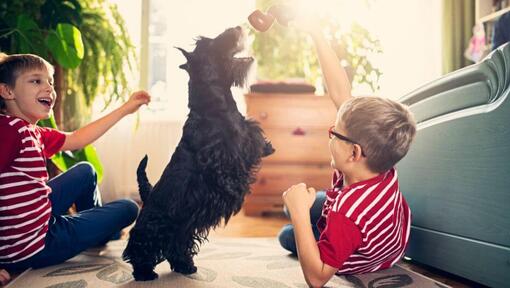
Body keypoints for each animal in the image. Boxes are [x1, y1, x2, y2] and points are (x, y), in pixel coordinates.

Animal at [122, 25, 274, 280]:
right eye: (208, 43)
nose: (238, 28)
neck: (214, 105)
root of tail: (148, 195)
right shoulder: (219, 159)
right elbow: (227, 174)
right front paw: (235, 188)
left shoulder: (248, 137)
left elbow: (257, 144)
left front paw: (268, 148)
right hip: (154, 227)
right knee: (139, 248)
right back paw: (145, 272)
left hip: (182, 228)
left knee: (176, 247)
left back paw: (185, 265)